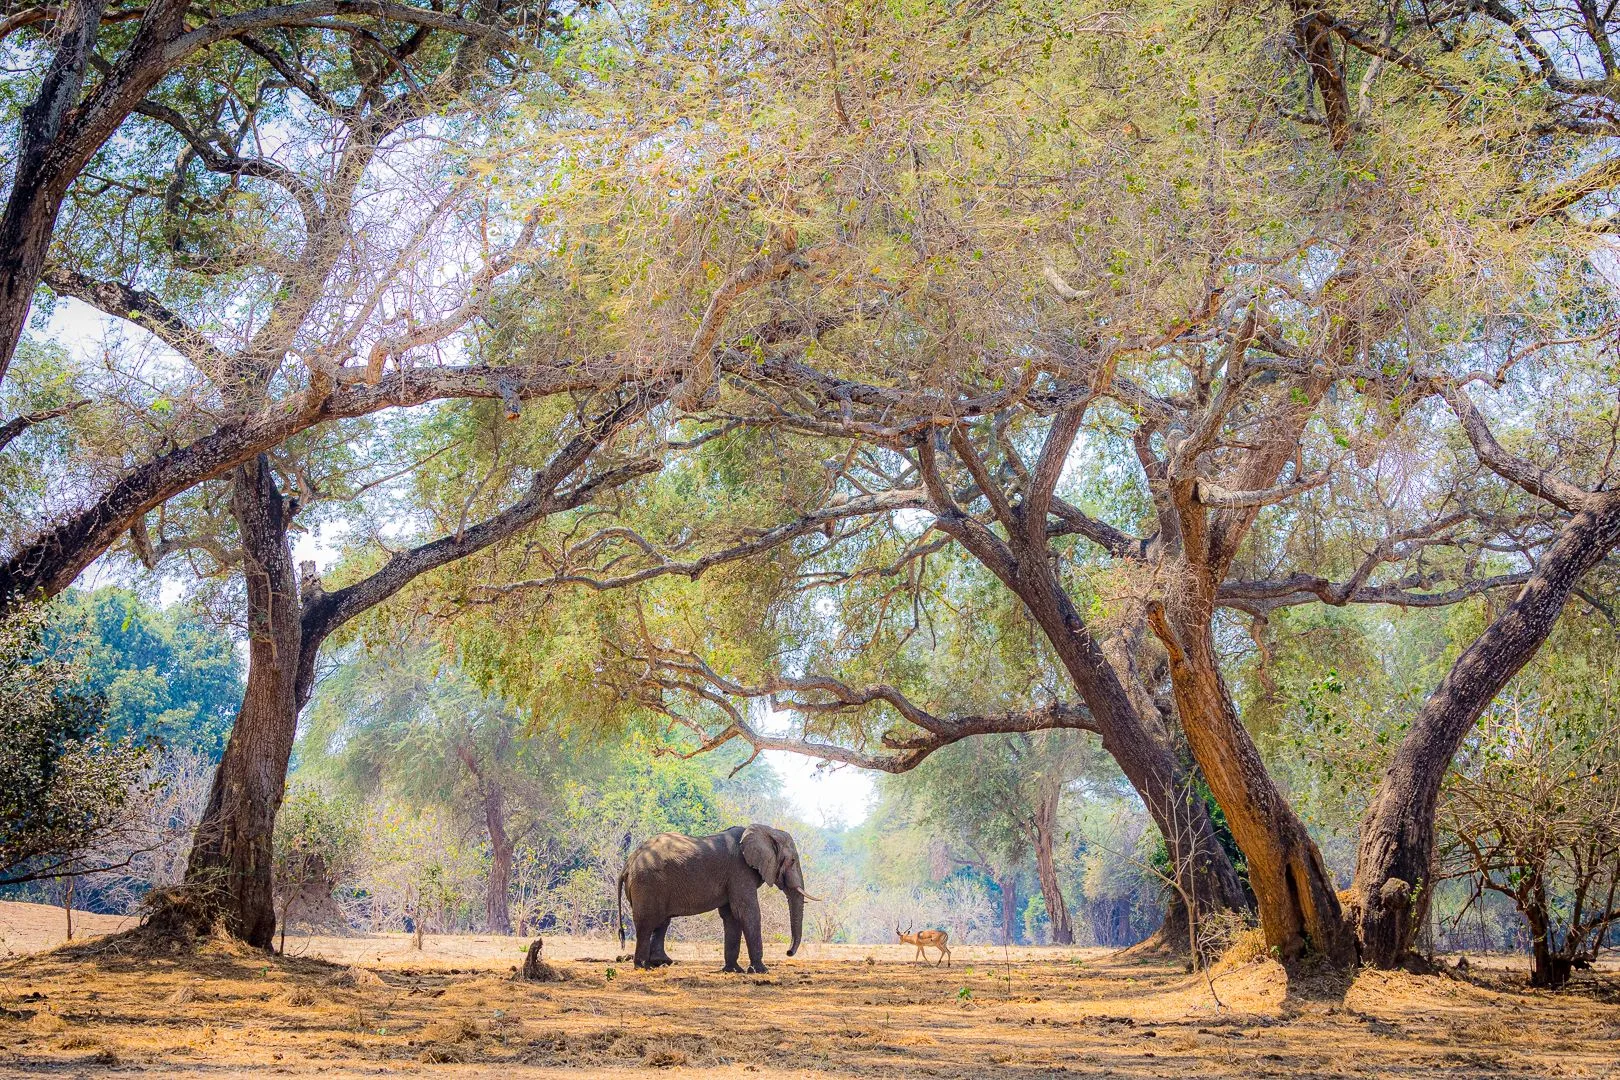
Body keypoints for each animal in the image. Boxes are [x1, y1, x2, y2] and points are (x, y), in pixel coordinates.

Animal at [617, 824, 812, 973]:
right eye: (792, 861)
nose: (788, 952)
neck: (766, 830)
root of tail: (628, 863)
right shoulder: (740, 871)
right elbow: (747, 912)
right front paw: (761, 971)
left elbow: (731, 916)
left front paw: (733, 971)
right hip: (647, 883)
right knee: (647, 922)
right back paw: (643, 967)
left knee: (661, 922)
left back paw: (659, 963)